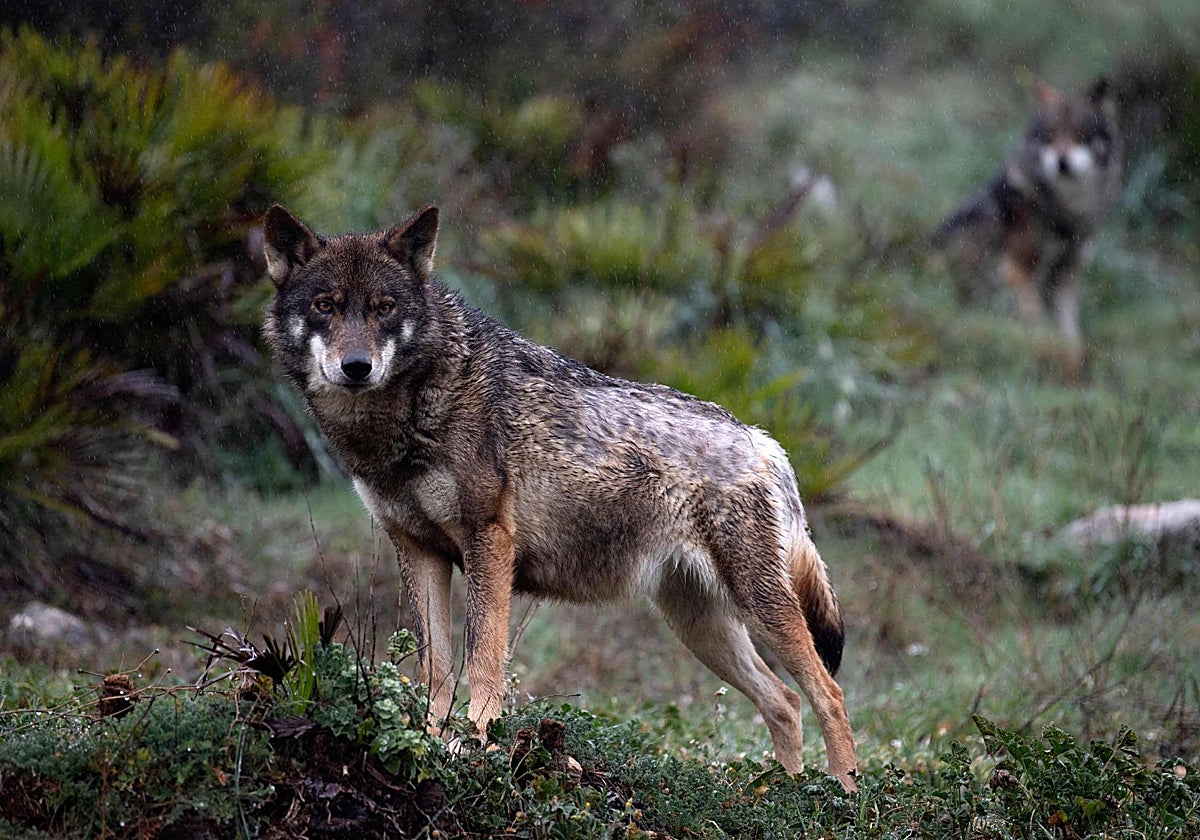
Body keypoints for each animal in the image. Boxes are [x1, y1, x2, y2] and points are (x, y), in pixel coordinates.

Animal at [261, 205, 858, 790]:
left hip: (759, 608)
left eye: (384, 309)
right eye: (325, 306)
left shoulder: (489, 541)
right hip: (699, 627)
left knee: (828, 694)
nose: (356, 367)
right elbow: (436, 669)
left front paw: (477, 746)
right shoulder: (416, 548)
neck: (409, 415)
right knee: (784, 701)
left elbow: (483, 659)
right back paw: (786, 792)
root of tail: (763, 439)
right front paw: (429, 743)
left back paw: (841, 798)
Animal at [934, 78, 1122, 368]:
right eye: (1051, 136)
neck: (1066, 209)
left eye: (1079, 134)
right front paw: (1044, 352)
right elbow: (1037, 321)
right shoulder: (1018, 270)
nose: (1061, 163)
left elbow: (1071, 332)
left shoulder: (1065, 275)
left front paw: (1073, 360)